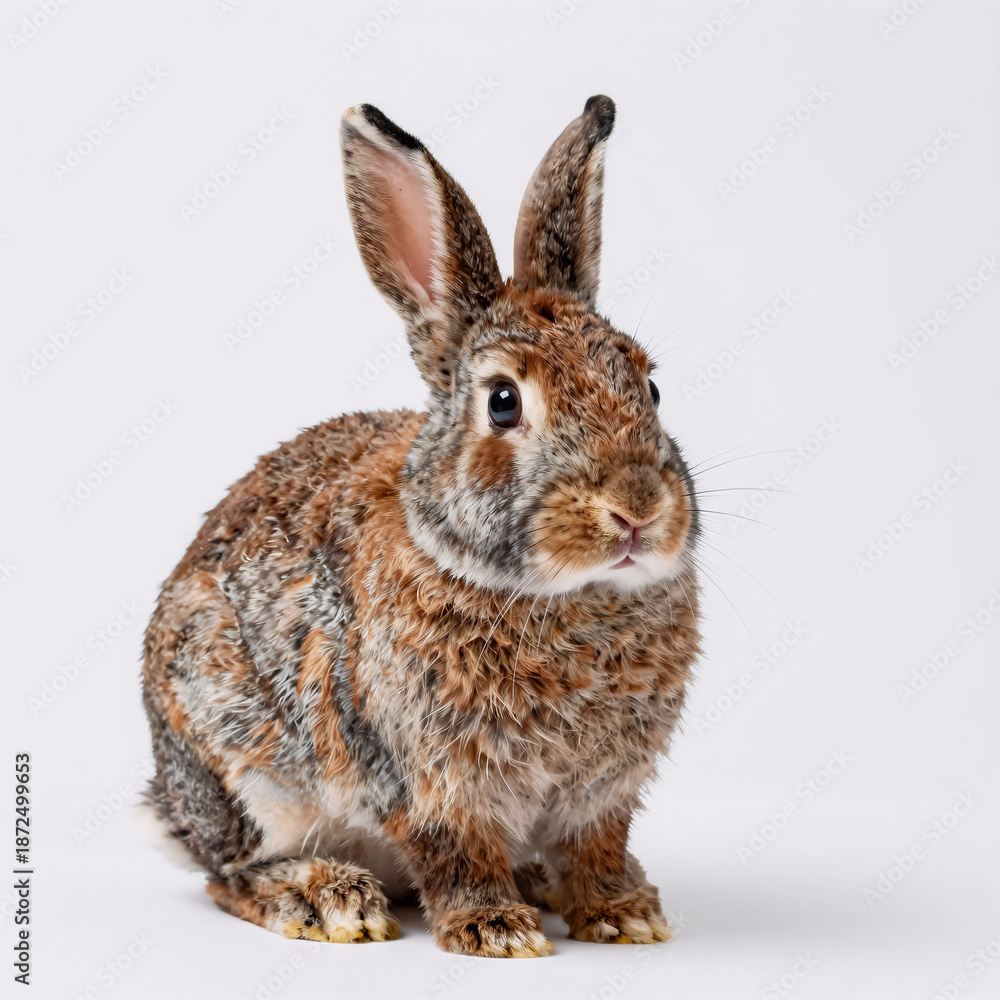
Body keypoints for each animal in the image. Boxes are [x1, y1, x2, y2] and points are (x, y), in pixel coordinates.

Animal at [140, 95, 701, 958]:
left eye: (651, 386)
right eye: (503, 402)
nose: (636, 507)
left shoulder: (602, 798)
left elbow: (596, 850)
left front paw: (623, 914)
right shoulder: (424, 776)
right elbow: (455, 850)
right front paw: (496, 930)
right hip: (239, 762)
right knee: (227, 875)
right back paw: (327, 899)